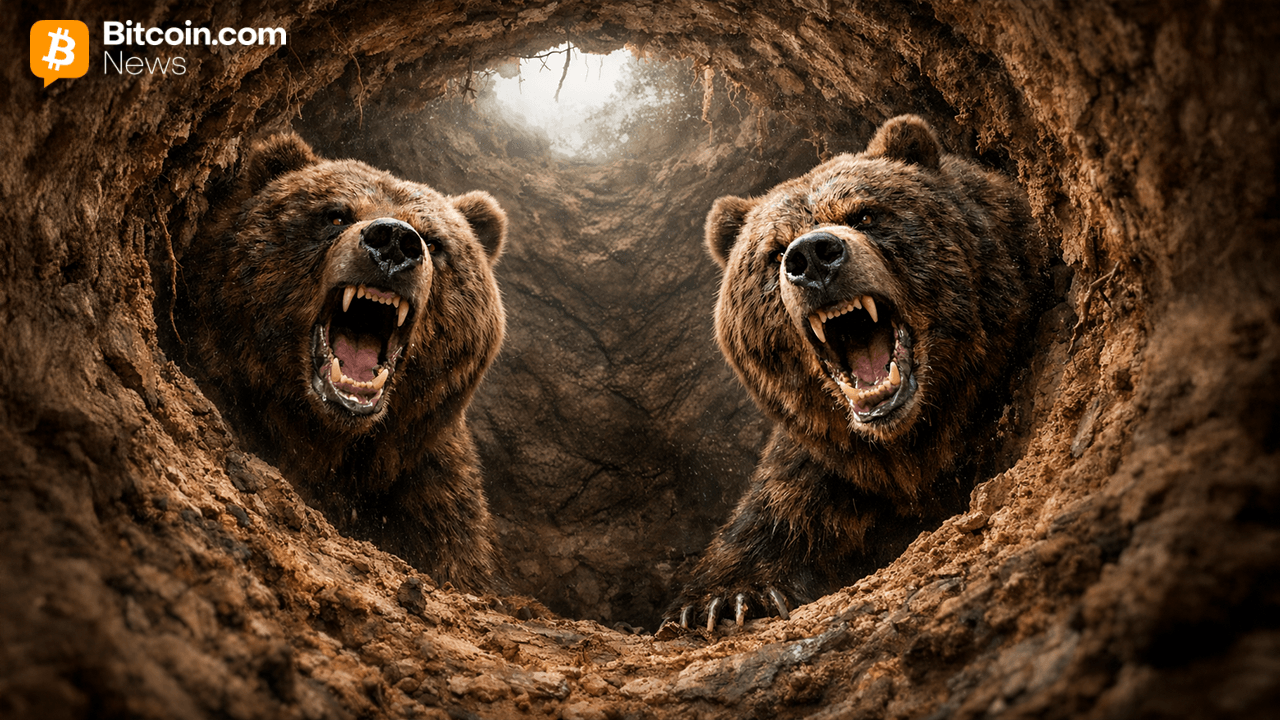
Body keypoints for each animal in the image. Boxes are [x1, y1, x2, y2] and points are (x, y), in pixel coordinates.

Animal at [668, 115, 1042, 630]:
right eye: (775, 250)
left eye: (863, 214)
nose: (812, 257)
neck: (911, 448)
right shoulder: (826, 472)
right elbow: (767, 526)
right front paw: (726, 600)